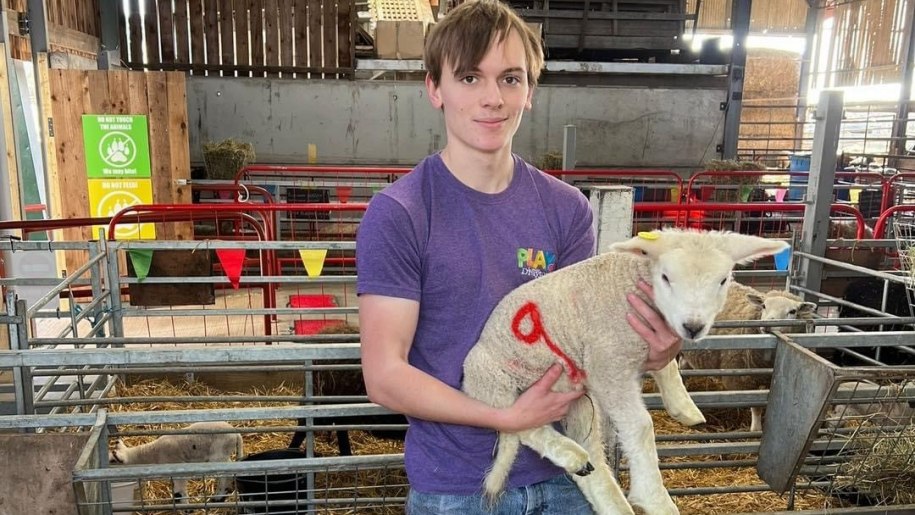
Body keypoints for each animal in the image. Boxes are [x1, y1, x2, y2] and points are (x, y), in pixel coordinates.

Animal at [109, 424, 245, 504]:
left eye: (112, 461)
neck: (153, 453)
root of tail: (236, 434)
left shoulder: (178, 468)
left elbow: (180, 490)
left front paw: (185, 507)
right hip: (223, 455)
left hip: (218, 455)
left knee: (224, 476)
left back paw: (218, 497)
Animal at [462, 230, 792, 515]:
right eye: (666, 277)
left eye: (723, 280)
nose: (693, 326)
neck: (631, 283)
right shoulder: (607, 364)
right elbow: (642, 426)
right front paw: (655, 499)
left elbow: (669, 365)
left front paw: (683, 406)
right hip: (494, 381)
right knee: (521, 424)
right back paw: (571, 455)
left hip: (577, 399)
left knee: (591, 458)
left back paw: (602, 490)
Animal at [680, 284, 816, 434]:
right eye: (763, 306)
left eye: (792, 311)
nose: (768, 325)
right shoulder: (746, 380)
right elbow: (756, 405)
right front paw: (756, 429)